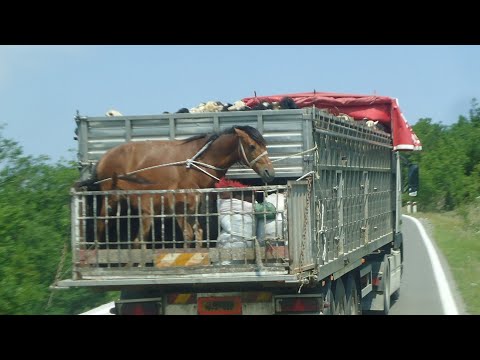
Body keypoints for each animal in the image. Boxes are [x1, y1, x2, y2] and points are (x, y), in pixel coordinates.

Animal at [89, 125, 274, 249]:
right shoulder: (180, 205)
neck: (197, 161)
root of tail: (103, 158)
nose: (269, 172)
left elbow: (196, 233)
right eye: (252, 146)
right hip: (109, 197)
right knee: (101, 222)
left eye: (265, 145)